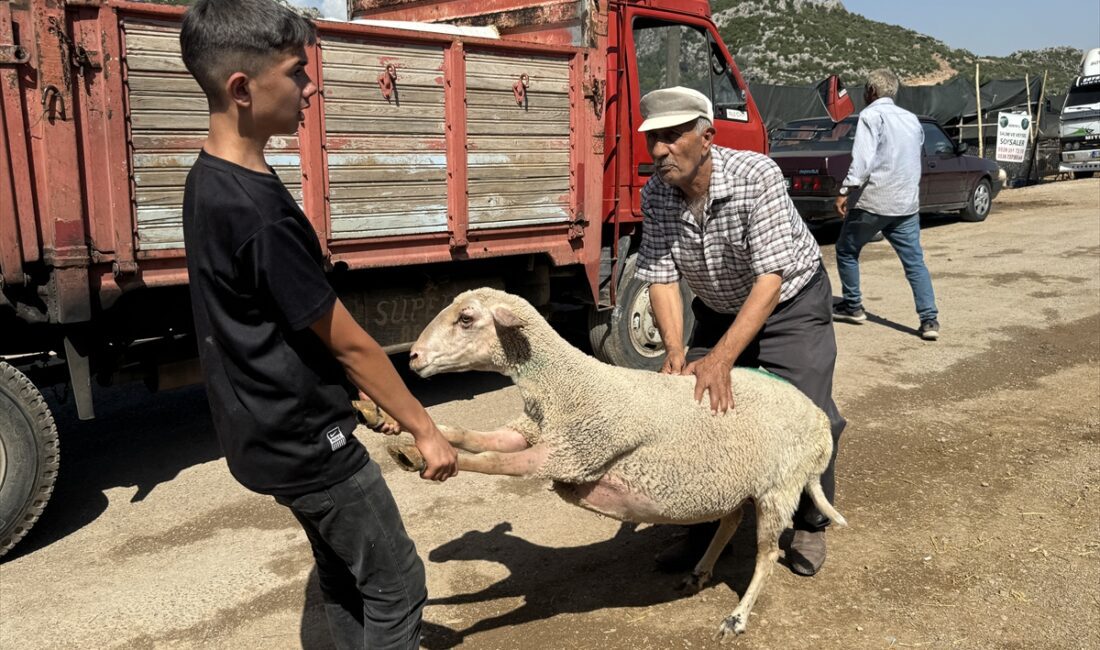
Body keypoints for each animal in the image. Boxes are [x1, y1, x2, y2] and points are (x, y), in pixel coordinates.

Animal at [391, 288, 844, 637]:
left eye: (466, 318)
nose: (413, 357)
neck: (566, 388)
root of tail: (816, 416)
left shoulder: (570, 454)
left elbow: (489, 460)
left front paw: (428, 458)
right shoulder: (532, 432)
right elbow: (474, 437)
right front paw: (410, 437)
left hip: (779, 487)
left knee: (767, 555)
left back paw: (736, 618)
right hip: (735, 480)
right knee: (730, 520)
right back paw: (699, 570)